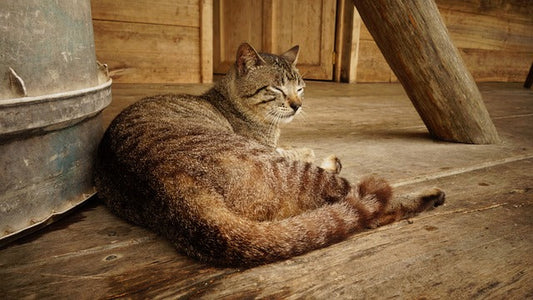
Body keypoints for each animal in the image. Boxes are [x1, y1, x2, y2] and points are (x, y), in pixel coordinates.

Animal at [93, 42, 442, 268]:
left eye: (300, 88)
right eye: (276, 88)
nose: (298, 105)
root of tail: (170, 187)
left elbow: (298, 148)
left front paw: (316, 151)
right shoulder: (272, 148)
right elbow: (298, 151)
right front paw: (319, 154)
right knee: (367, 205)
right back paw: (427, 196)